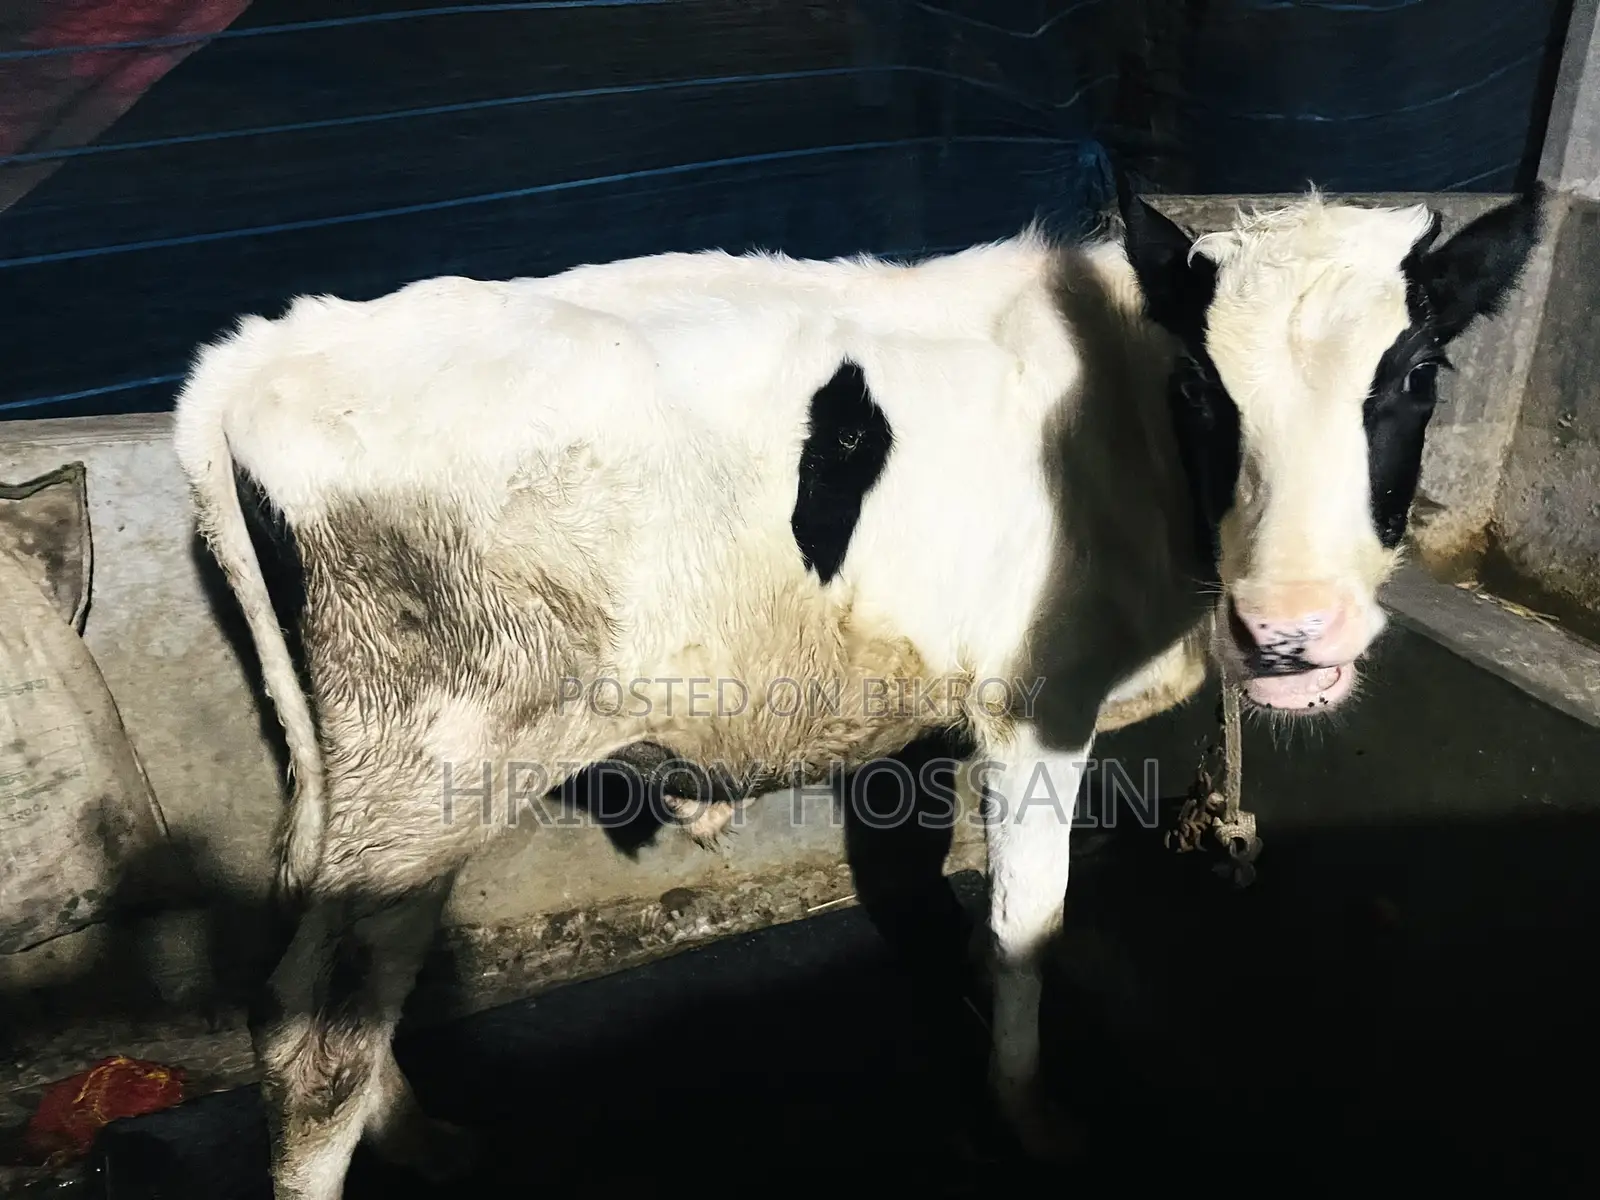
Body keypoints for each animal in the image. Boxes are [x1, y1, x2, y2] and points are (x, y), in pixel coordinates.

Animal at [173, 180, 1543, 1197]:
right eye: (1205, 388)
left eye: (1416, 375)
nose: (1292, 630)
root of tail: (271, 346)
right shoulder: (1034, 701)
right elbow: (1026, 923)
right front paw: (1028, 1117)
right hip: (435, 758)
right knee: (313, 1036)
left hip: (368, 785)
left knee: (326, 982)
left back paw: (417, 1135)